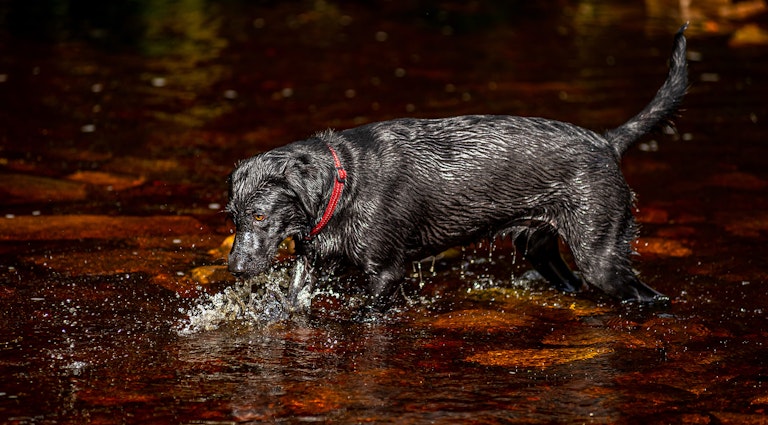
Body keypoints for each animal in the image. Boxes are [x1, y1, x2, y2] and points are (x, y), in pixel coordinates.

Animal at [226, 24, 688, 310]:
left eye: (259, 215)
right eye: (232, 218)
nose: (235, 268)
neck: (346, 183)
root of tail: (607, 141)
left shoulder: (386, 273)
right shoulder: (311, 262)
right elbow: (292, 302)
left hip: (600, 253)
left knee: (648, 294)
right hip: (538, 246)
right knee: (571, 281)